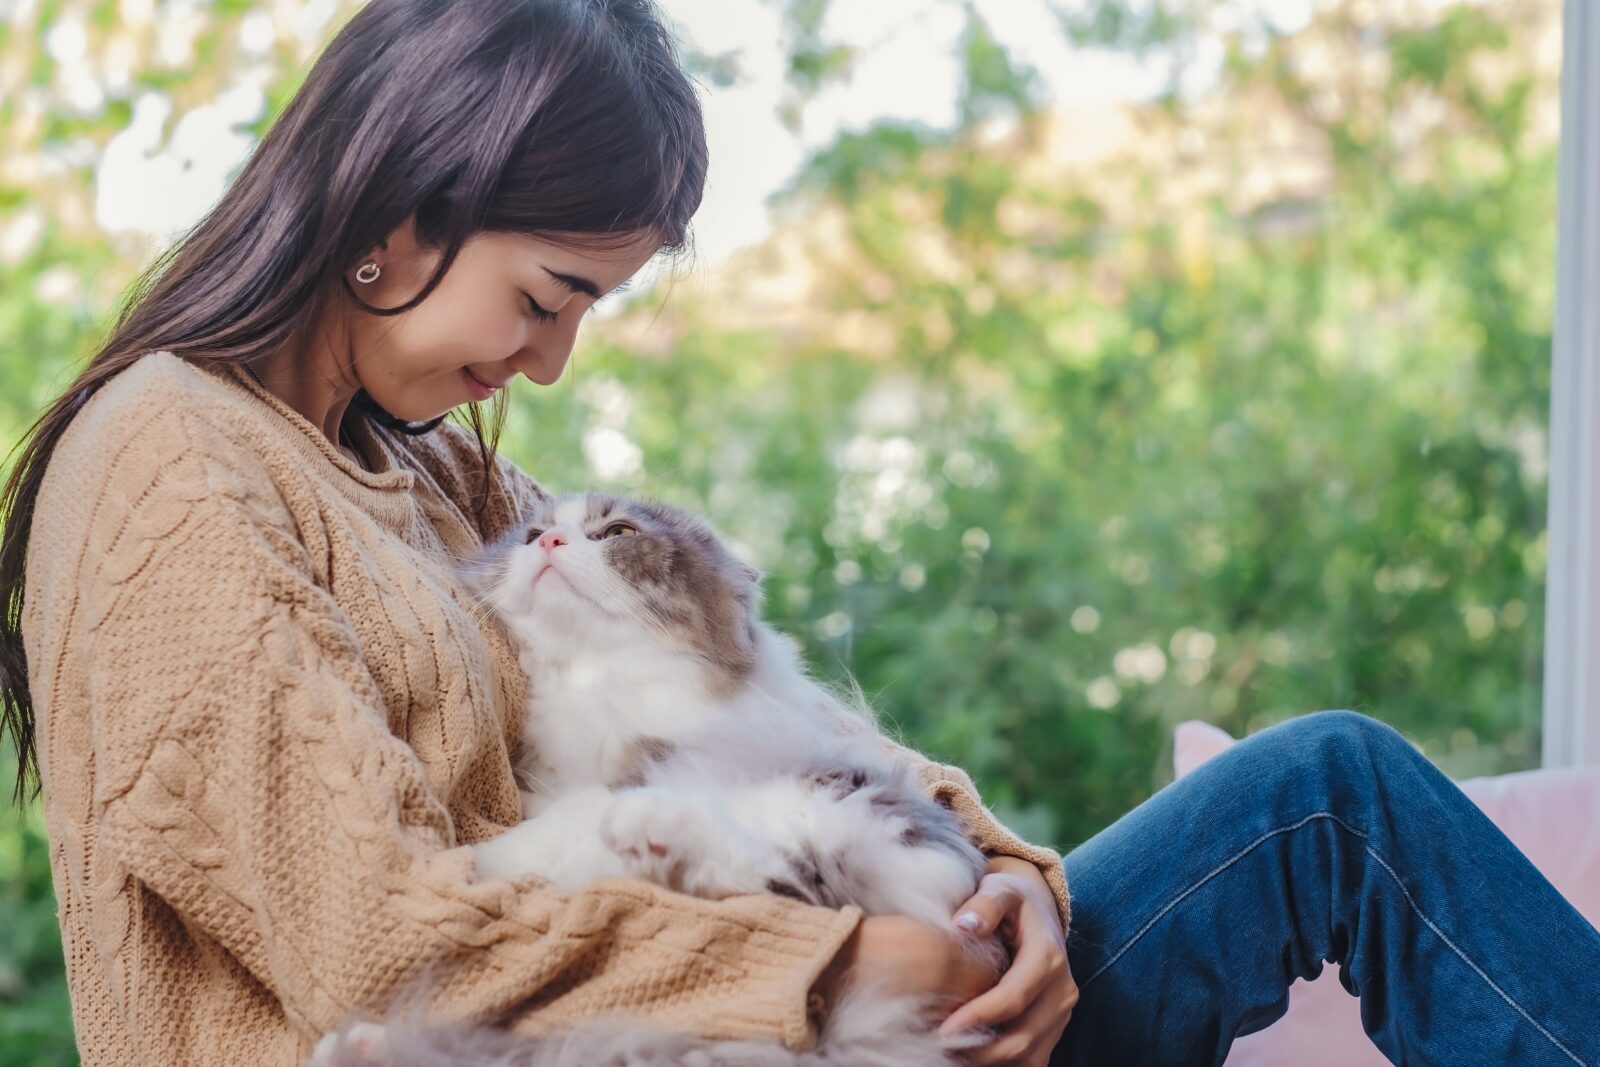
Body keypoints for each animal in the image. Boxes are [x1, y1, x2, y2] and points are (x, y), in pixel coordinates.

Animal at [308, 492, 998, 1067]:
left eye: (616, 532)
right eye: (531, 534)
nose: (550, 543)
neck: (599, 682)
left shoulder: (646, 760)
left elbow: (562, 818)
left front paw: (485, 860)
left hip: (840, 809)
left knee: (784, 877)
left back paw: (649, 829)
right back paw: (356, 1046)